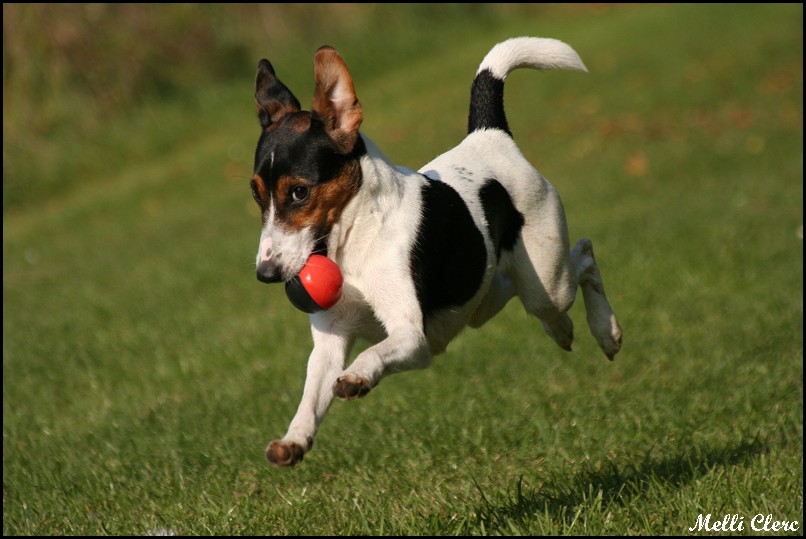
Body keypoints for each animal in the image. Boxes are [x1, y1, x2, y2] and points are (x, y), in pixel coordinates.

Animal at [251, 37, 624, 468]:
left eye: (299, 192)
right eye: (256, 194)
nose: (264, 273)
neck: (356, 237)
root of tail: (489, 135)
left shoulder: (413, 338)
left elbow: (376, 351)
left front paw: (358, 375)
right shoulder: (330, 340)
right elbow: (311, 396)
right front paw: (293, 440)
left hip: (546, 282)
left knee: (584, 255)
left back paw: (606, 332)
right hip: (487, 293)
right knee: (531, 290)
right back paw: (562, 330)